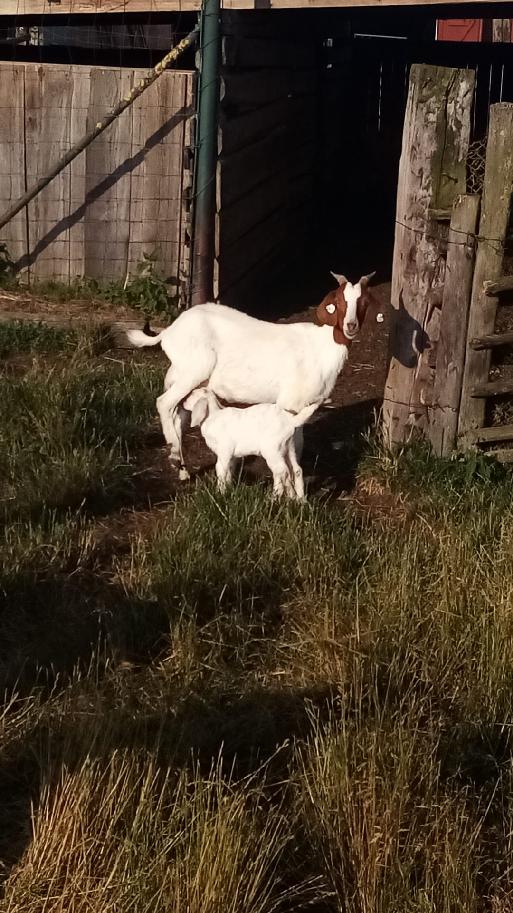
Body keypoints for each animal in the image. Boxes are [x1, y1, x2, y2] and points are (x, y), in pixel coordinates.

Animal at [126, 270, 376, 479]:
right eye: (339, 302)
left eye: (363, 302)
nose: (351, 326)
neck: (322, 346)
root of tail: (170, 331)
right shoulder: (290, 401)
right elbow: (295, 441)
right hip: (195, 369)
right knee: (164, 403)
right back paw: (175, 456)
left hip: (182, 375)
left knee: (178, 413)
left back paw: (182, 470)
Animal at [182, 388, 319, 498]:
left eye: (192, 395)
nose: (183, 401)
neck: (212, 416)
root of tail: (290, 420)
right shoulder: (232, 457)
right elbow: (229, 472)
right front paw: (229, 490)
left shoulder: (223, 453)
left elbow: (221, 471)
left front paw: (219, 493)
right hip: (290, 448)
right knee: (296, 470)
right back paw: (298, 500)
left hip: (272, 450)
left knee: (281, 471)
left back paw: (275, 498)